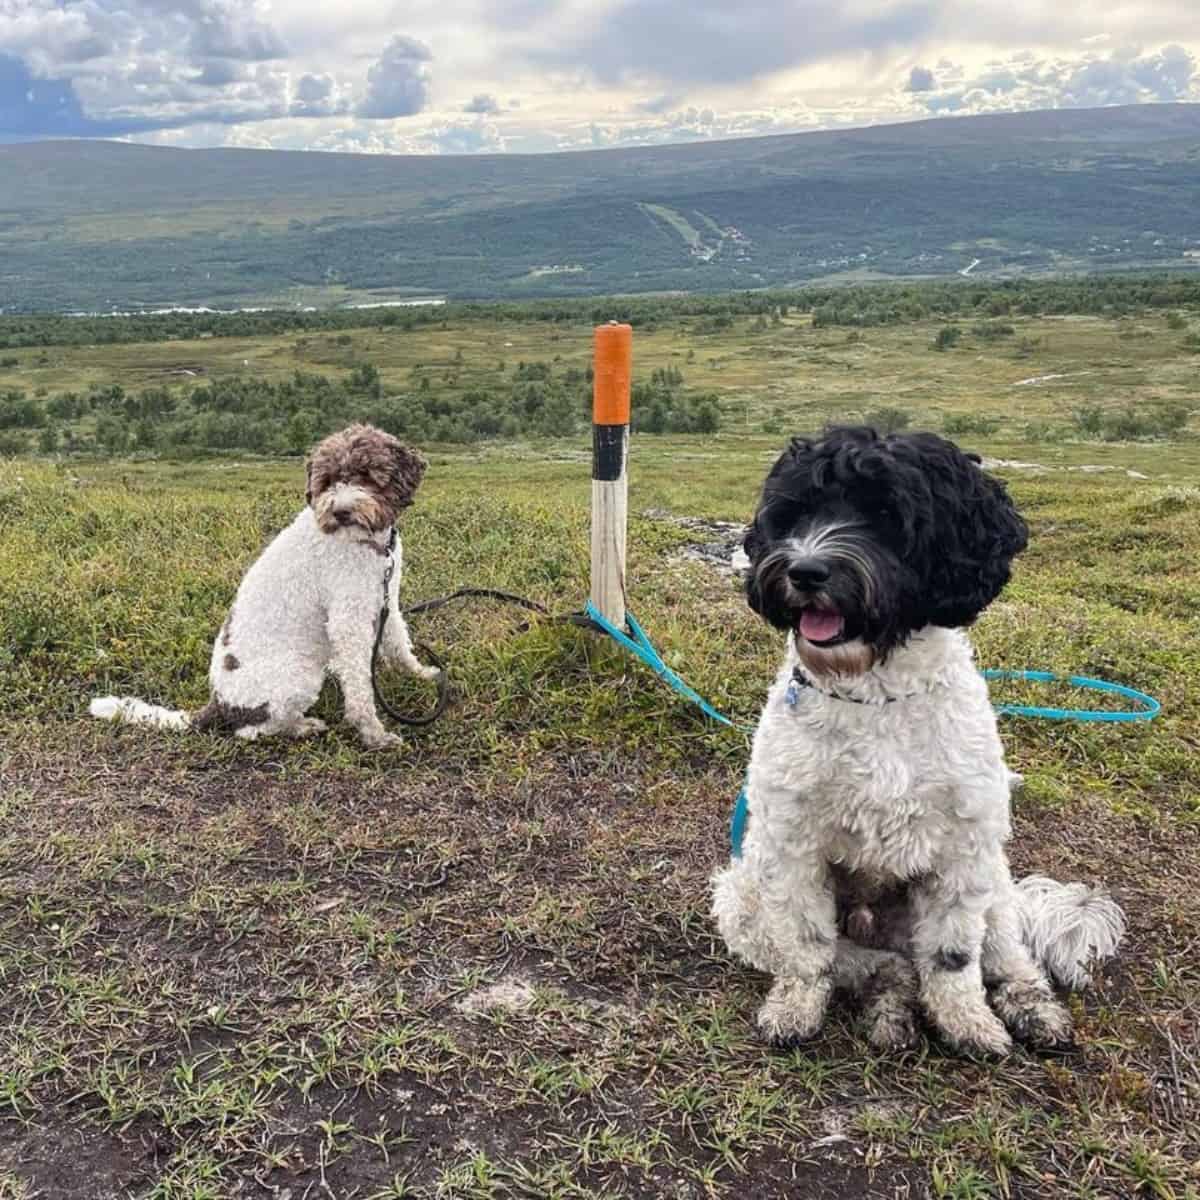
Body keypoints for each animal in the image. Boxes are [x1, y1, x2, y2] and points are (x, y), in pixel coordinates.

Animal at [90, 424, 436, 748]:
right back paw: (300, 727)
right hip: (298, 673)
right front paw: (374, 733)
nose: (340, 511)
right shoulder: (347, 621)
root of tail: (219, 703)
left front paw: (421, 673)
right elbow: (360, 686)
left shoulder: (384, 596)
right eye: (327, 481)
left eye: (367, 475)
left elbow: (398, 641)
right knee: (253, 730)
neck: (366, 544)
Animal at [710, 427, 1123, 1056]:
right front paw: (795, 1006)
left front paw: (967, 1021)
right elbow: (807, 948)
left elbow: (953, 959)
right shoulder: (792, 848)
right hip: (745, 899)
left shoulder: (961, 855)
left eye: (886, 515)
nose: (805, 570)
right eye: (794, 514)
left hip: (994, 888)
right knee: (881, 966)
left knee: (1003, 958)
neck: (875, 698)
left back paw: (1029, 1007)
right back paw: (891, 1010)